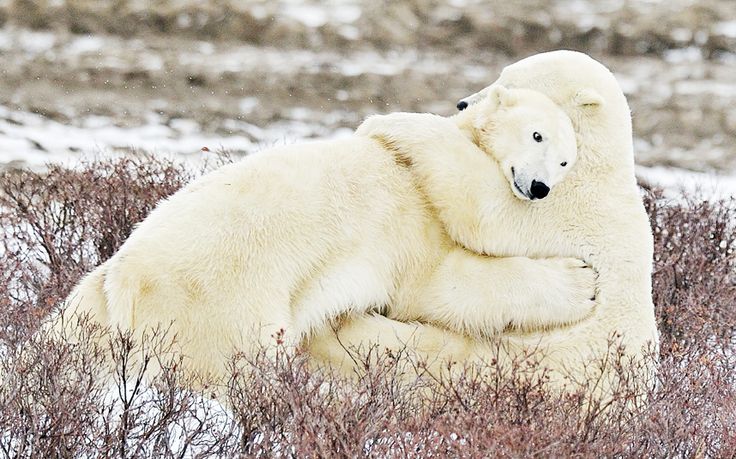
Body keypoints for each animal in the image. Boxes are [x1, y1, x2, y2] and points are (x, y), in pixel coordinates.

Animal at [58, 85, 593, 382]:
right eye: (537, 135)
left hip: (95, 306)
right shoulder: (416, 213)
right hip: (217, 302)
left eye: (566, 162)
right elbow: (440, 284)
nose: (540, 187)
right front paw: (581, 282)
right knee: (227, 368)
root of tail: (125, 277)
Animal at [308, 50, 659, 396]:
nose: (463, 103)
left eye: (512, 80)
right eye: (503, 73)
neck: (597, 160)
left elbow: (485, 208)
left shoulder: (563, 205)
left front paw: (389, 122)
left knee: (427, 350)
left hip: (525, 360)